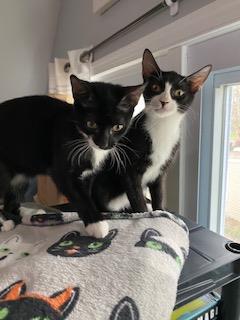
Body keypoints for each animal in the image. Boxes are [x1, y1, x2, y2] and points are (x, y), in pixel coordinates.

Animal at [0, 77, 144, 238]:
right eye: (91, 123)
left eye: (118, 127)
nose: (103, 144)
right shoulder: (62, 168)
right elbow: (79, 196)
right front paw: (96, 224)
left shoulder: (88, 175)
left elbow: (87, 193)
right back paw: (5, 222)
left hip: (20, 174)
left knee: (11, 198)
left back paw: (29, 214)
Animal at [90, 49, 212, 212]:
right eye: (155, 87)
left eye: (179, 92)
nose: (164, 101)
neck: (162, 126)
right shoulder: (129, 169)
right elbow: (136, 196)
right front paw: (143, 213)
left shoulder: (161, 170)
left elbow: (159, 193)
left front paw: (160, 212)